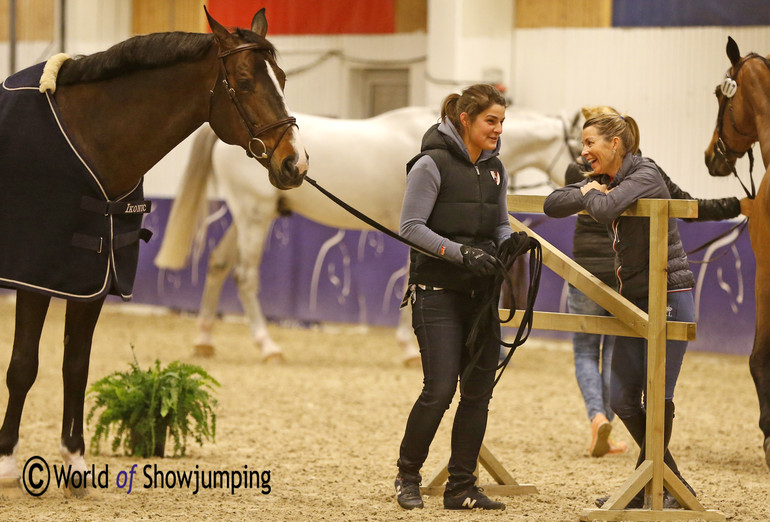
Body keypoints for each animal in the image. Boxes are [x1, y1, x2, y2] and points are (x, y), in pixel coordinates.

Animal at [0, 10, 306, 494]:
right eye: (244, 80)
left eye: (282, 78)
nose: (296, 163)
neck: (90, 136)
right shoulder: (36, 276)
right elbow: (23, 366)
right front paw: (8, 464)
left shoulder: (93, 279)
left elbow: (75, 365)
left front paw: (75, 462)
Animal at [153, 106, 572, 362]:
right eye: (577, 148)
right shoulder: (416, 230)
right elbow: (410, 278)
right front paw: (408, 349)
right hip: (253, 215)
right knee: (244, 275)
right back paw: (268, 346)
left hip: (250, 216)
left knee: (218, 264)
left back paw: (204, 341)